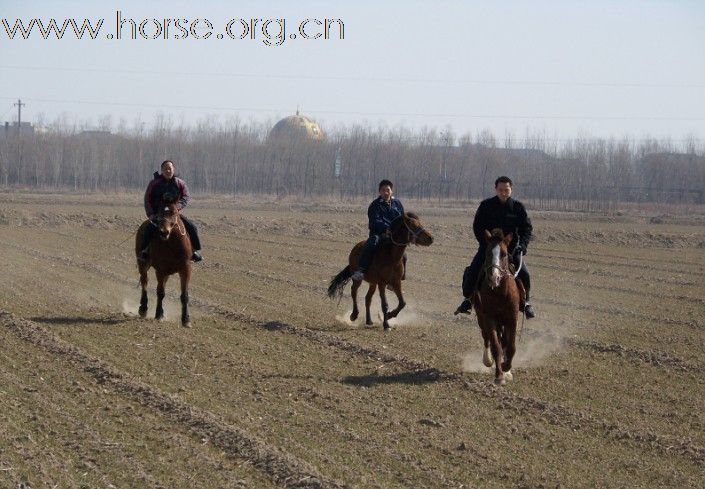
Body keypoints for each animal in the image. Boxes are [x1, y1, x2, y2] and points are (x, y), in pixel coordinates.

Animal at [133, 198, 191, 328]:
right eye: (159, 212)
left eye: (174, 212)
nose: (164, 232)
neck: (171, 244)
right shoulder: (160, 269)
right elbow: (160, 292)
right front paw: (158, 314)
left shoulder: (185, 269)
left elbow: (184, 295)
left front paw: (186, 319)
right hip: (143, 265)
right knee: (145, 282)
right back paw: (143, 309)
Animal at [470, 229, 520, 386]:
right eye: (487, 253)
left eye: (504, 254)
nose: (494, 277)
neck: (500, 292)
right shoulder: (489, 318)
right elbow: (496, 347)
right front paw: (499, 376)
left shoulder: (512, 318)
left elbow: (511, 347)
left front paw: (506, 367)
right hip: (482, 317)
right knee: (487, 337)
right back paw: (487, 360)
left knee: (504, 341)